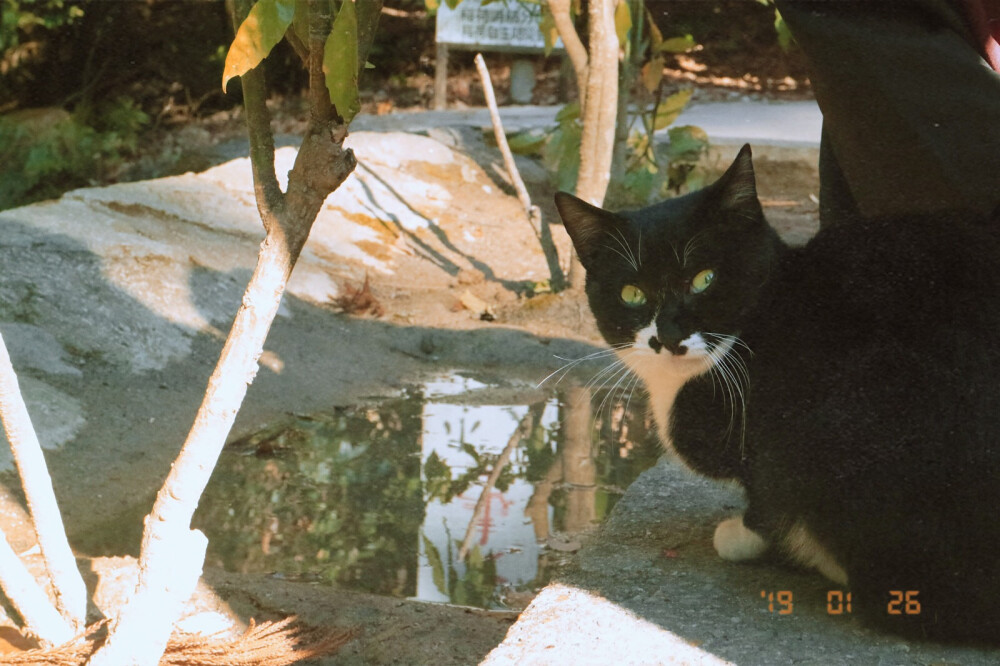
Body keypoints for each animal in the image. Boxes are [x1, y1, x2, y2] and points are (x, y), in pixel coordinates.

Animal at [560, 147, 1000, 644]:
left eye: (704, 279)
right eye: (632, 294)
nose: (668, 336)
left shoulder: (766, 438)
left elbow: (766, 500)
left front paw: (746, 536)